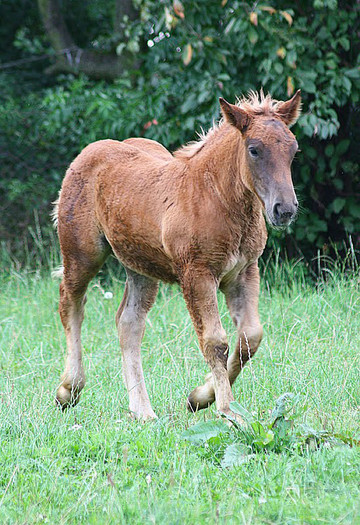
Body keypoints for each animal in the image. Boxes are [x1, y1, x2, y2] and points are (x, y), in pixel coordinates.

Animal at [52, 89, 300, 418]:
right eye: (254, 150)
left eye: (293, 149)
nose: (284, 209)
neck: (218, 198)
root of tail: (87, 153)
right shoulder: (197, 274)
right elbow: (214, 341)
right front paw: (229, 411)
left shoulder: (244, 272)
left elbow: (250, 336)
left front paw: (200, 397)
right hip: (82, 254)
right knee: (71, 303)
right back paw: (68, 390)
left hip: (141, 267)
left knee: (129, 322)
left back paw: (142, 411)